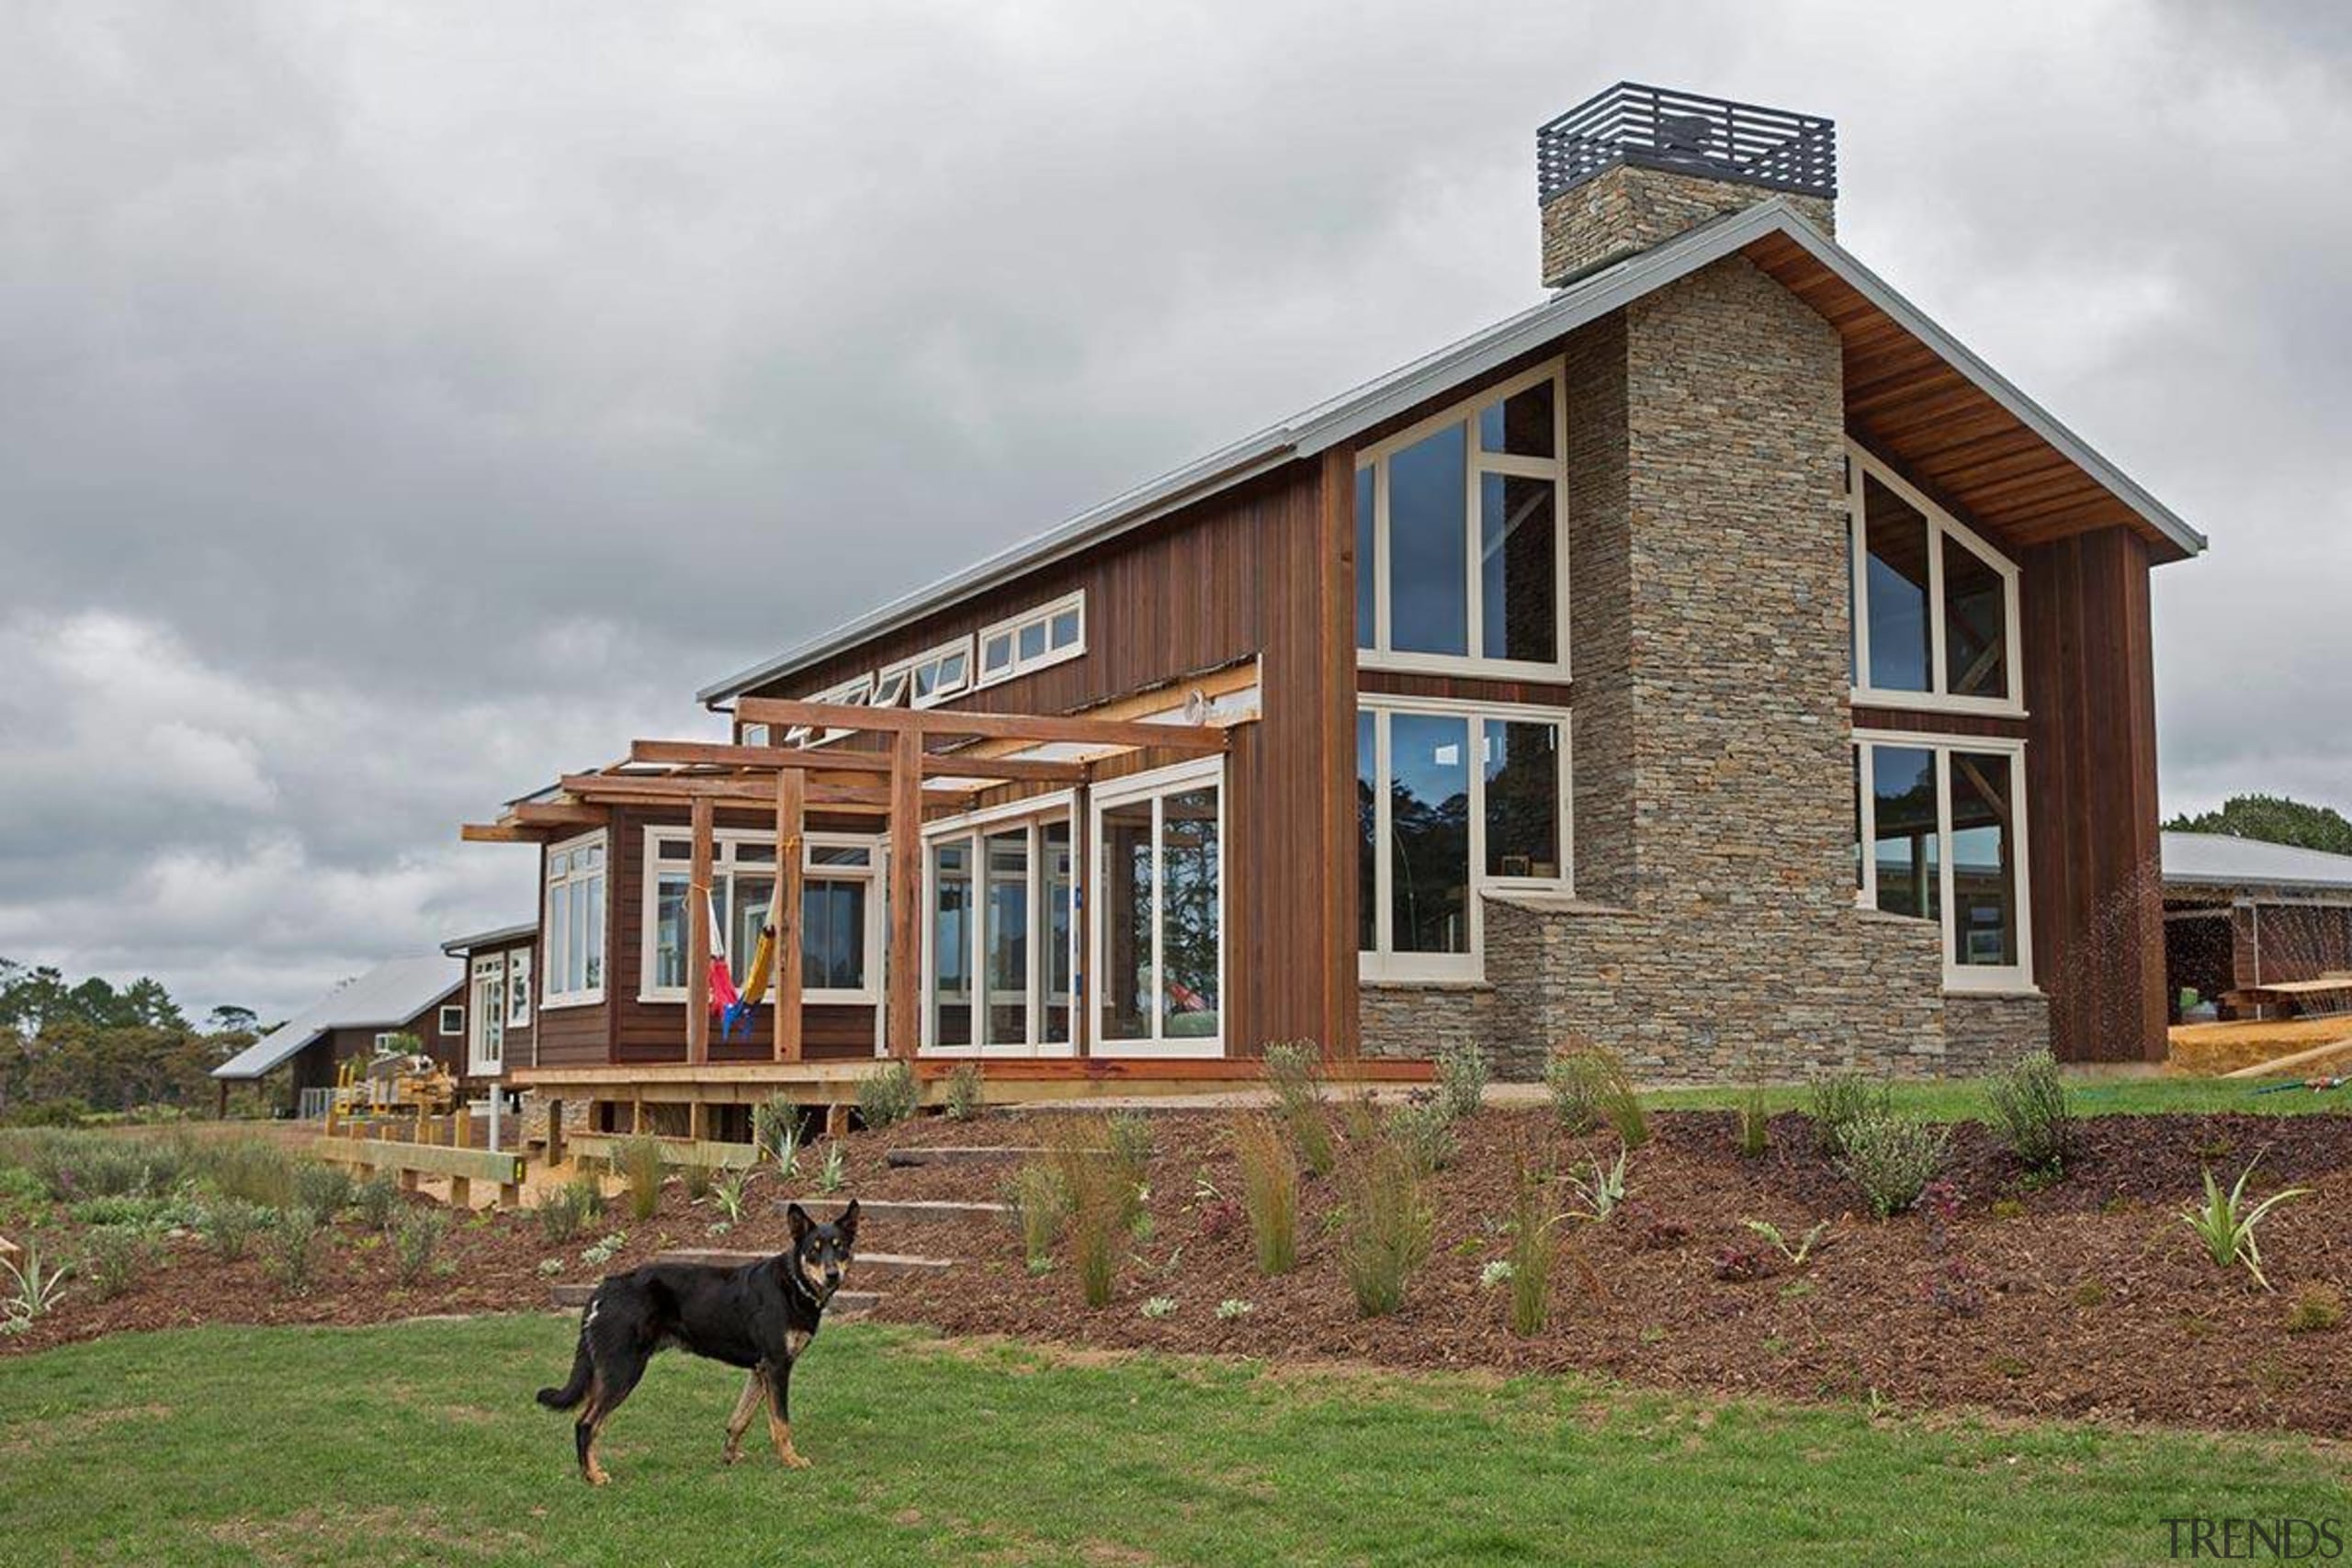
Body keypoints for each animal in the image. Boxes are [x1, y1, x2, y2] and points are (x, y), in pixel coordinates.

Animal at [538, 1203, 860, 1485]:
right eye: (813, 1251)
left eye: (840, 1247)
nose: (833, 1274)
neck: (794, 1283)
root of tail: (604, 1288)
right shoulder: (778, 1367)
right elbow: (781, 1422)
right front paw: (791, 1460)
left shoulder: (760, 1370)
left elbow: (740, 1419)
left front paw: (729, 1457)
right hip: (623, 1371)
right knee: (586, 1424)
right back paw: (593, 1476)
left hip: (607, 1372)